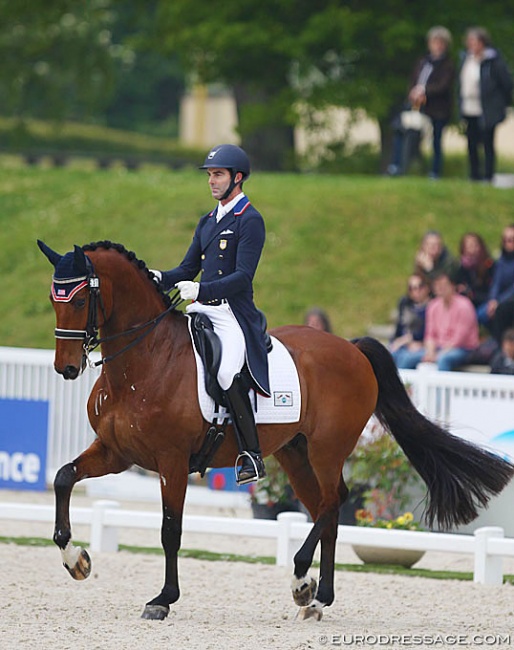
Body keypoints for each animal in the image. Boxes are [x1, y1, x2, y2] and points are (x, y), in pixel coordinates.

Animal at [39, 238, 512, 616]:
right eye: (53, 298)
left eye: (78, 301)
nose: (66, 368)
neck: (145, 361)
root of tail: (352, 348)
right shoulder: (116, 452)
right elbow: (63, 477)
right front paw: (75, 560)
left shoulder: (172, 462)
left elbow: (170, 530)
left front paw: (163, 599)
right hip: (294, 451)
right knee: (325, 509)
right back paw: (319, 598)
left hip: (326, 448)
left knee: (332, 502)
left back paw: (302, 580)